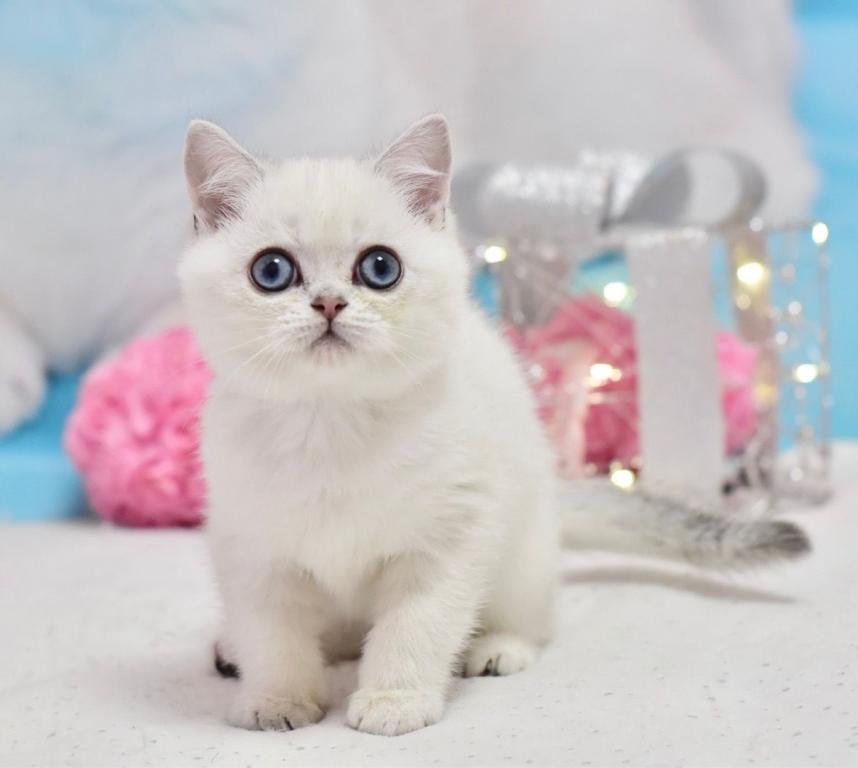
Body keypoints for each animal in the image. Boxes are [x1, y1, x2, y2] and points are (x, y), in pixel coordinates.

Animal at [179, 115, 809, 736]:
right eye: (271, 271)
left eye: (380, 268)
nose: (330, 304)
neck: (332, 424)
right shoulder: (252, 549)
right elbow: (273, 634)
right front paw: (277, 698)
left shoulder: (448, 537)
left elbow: (415, 626)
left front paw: (395, 698)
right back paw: (238, 652)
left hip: (522, 553)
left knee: (527, 618)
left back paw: (496, 647)